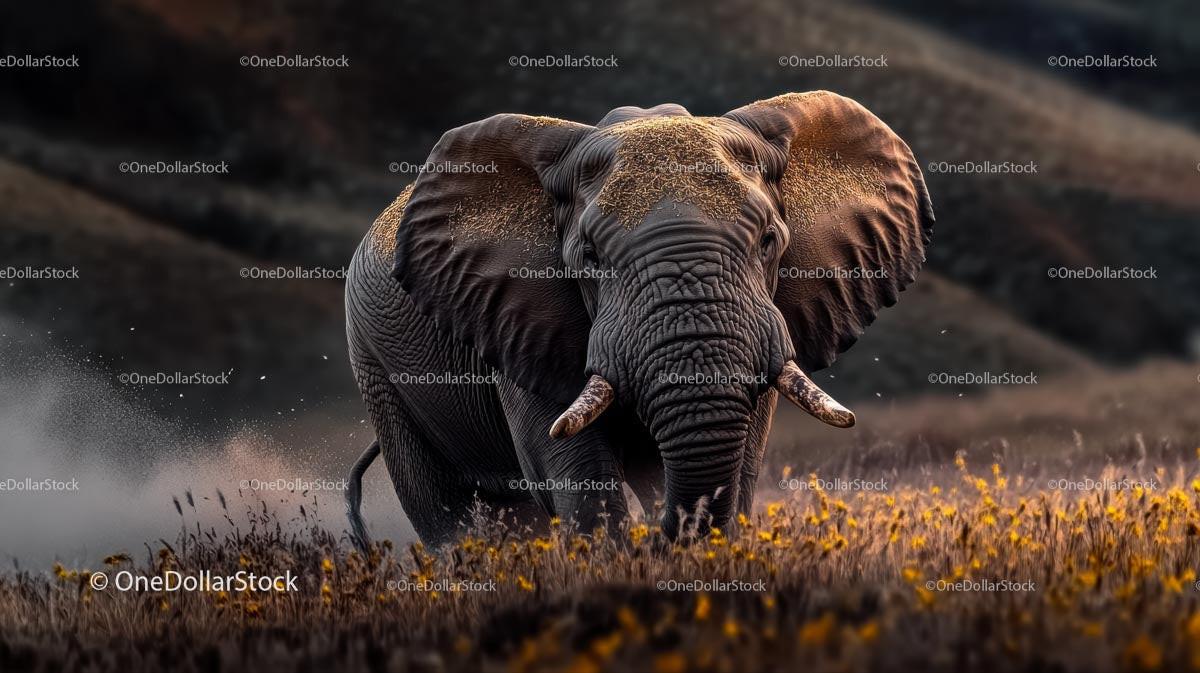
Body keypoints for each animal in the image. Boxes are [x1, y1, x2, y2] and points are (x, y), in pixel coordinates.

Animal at [344, 91, 934, 548]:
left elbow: (740, 458)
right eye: (589, 257)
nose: (664, 540)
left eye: (769, 240)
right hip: (375, 363)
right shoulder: (518, 316)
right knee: (446, 511)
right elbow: (567, 463)